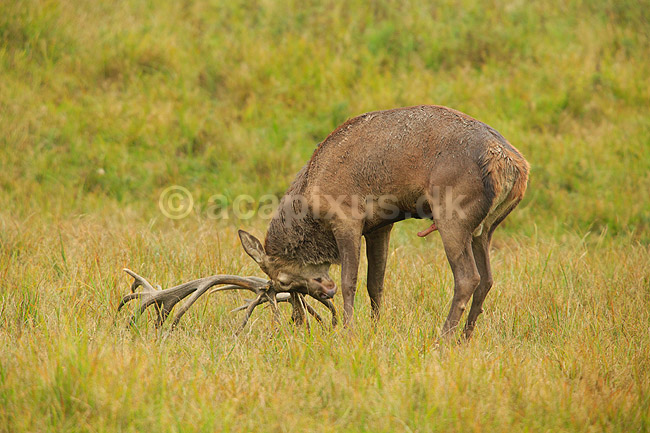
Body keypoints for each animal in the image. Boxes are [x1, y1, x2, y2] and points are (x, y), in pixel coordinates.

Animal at [118, 105, 529, 340]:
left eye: (283, 282)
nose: (321, 292)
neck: (312, 199)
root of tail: (513, 165)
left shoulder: (348, 217)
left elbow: (350, 281)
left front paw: (346, 332)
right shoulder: (381, 223)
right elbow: (376, 283)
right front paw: (375, 330)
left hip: (453, 213)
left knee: (468, 277)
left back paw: (444, 338)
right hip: (485, 227)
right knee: (488, 278)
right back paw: (467, 336)